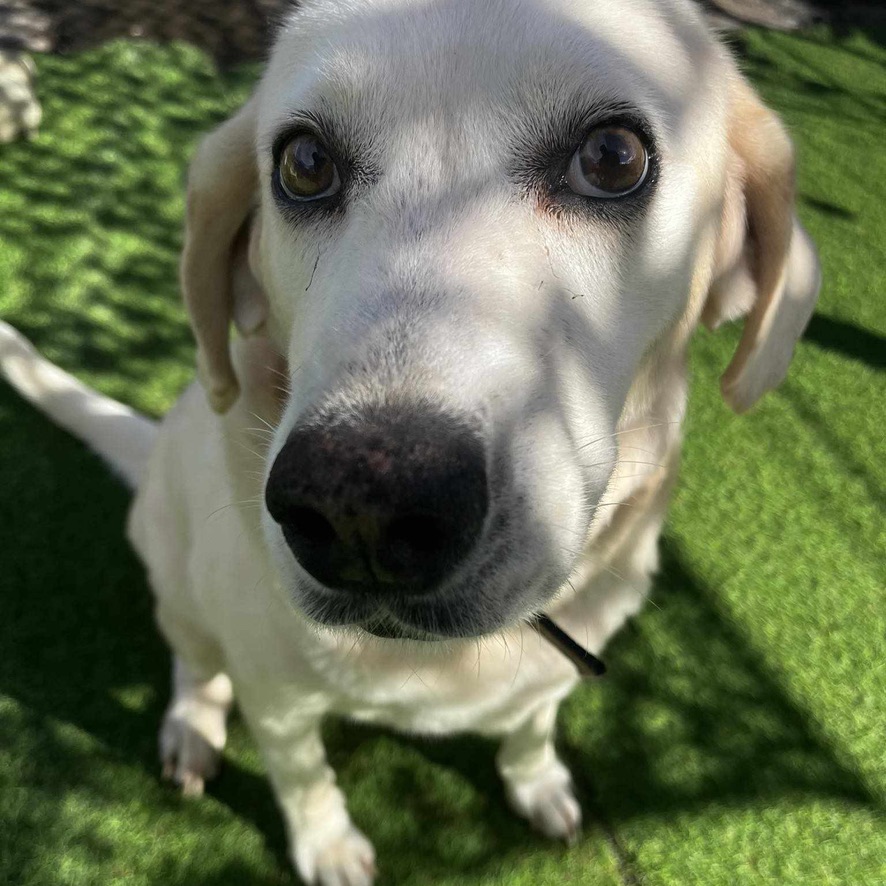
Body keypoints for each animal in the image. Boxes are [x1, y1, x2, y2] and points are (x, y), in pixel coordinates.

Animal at [0, 1, 824, 886]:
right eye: (304, 163)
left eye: (613, 157)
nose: (360, 506)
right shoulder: (276, 697)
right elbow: (302, 777)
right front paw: (327, 847)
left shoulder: (549, 679)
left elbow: (530, 728)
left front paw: (537, 783)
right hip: (178, 578)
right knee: (192, 658)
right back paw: (192, 725)